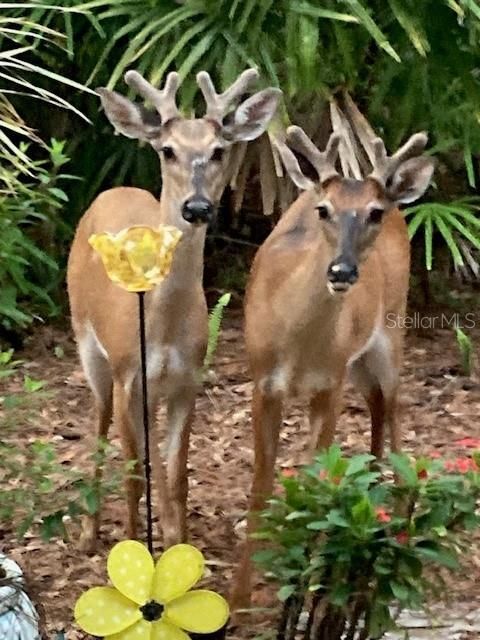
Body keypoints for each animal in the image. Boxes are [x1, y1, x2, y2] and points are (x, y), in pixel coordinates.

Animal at [65, 67, 280, 552]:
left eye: (219, 150)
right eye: (167, 150)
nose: (197, 206)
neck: (161, 330)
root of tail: (113, 190)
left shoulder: (187, 379)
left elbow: (176, 472)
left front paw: (180, 545)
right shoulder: (127, 373)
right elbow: (142, 471)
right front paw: (140, 544)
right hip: (88, 343)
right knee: (99, 425)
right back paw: (89, 532)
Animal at [231, 124, 436, 604]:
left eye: (374, 213)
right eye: (324, 209)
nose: (341, 271)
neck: (298, 345)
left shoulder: (330, 383)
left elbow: (318, 481)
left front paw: (309, 581)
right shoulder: (263, 382)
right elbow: (260, 486)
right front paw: (238, 598)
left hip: (390, 332)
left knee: (394, 414)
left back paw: (395, 512)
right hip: (359, 364)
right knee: (378, 406)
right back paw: (374, 489)